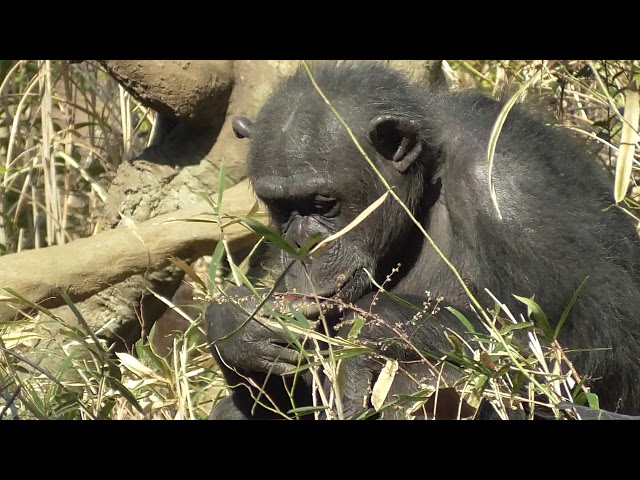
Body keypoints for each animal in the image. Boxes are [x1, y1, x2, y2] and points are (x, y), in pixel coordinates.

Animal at [205, 62, 640, 420]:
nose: (301, 245)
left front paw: (365, 327)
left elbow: (582, 353)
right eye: (280, 207)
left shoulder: (514, 192)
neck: (428, 183)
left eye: (323, 204)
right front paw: (239, 324)